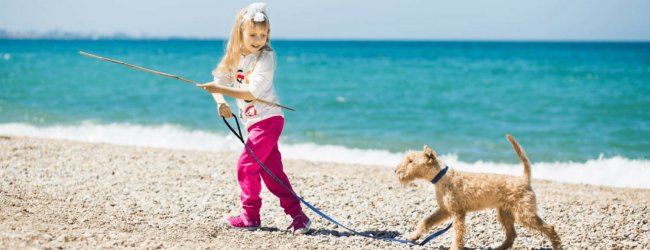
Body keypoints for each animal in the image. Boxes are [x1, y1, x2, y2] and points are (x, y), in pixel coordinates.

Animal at [392, 136, 564, 249]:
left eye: (410, 161)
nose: (395, 170)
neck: (442, 177)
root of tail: (524, 179)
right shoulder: (445, 210)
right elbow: (425, 222)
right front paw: (414, 236)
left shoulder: (458, 213)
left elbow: (458, 234)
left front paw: (455, 247)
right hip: (505, 213)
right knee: (512, 234)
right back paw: (499, 247)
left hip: (524, 214)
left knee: (549, 228)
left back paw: (556, 245)